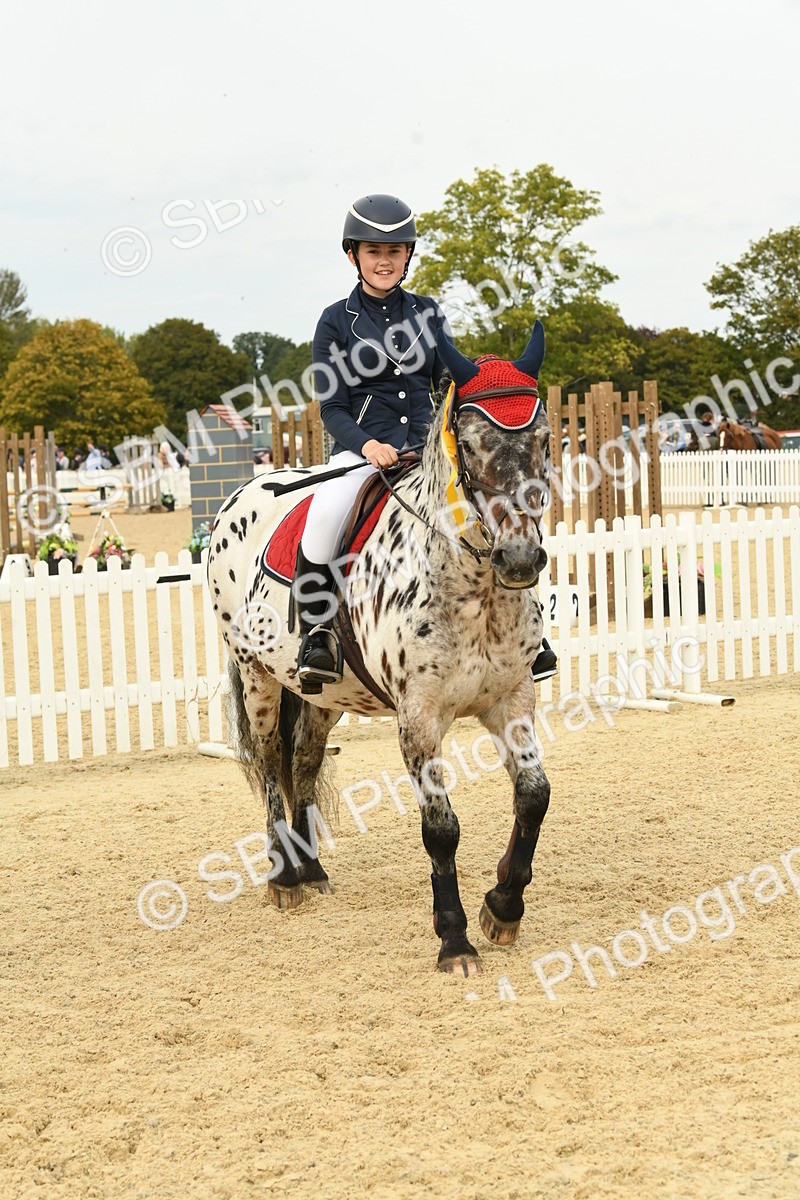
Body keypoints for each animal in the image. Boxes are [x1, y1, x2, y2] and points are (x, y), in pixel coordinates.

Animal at [207, 322, 552, 976]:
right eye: (471, 445)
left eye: (544, 439)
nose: (520, 559)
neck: (475, 588)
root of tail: (242, 493)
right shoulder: (419, 718)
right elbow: (440, 829)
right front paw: (454, 940)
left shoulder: (512, 700)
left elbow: (533, 798)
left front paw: (503, 906)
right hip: (257, 675)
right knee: (268, 761)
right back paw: (283, 878)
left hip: (322, 694)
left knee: (304, 759)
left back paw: (311, 868)